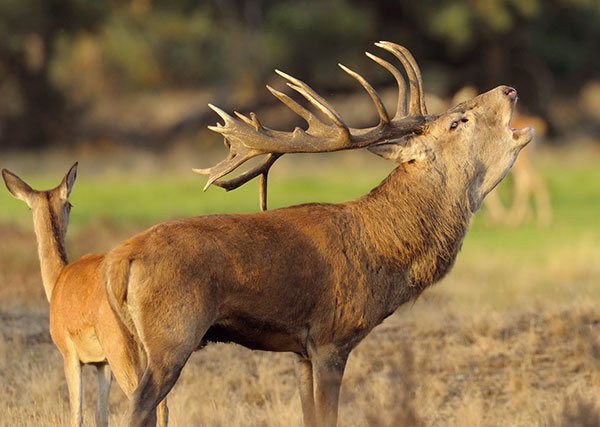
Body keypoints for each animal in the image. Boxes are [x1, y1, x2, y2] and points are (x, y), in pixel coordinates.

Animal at [2, 166, 168, 427]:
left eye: (69, 203)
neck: (58, 280)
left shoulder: (70, 355)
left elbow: (76, 413)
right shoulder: (102, 364)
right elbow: (101, 415)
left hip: (121, 351)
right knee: (162, 405)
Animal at [101, 41, 532, 427]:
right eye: (458, 121)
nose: (509, 89)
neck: (384, 254)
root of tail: (119, 260)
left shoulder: (300, 350)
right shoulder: (331, 336)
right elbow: (328, 416)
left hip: (131, 341)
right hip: (172, 333)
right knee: (140, 406)